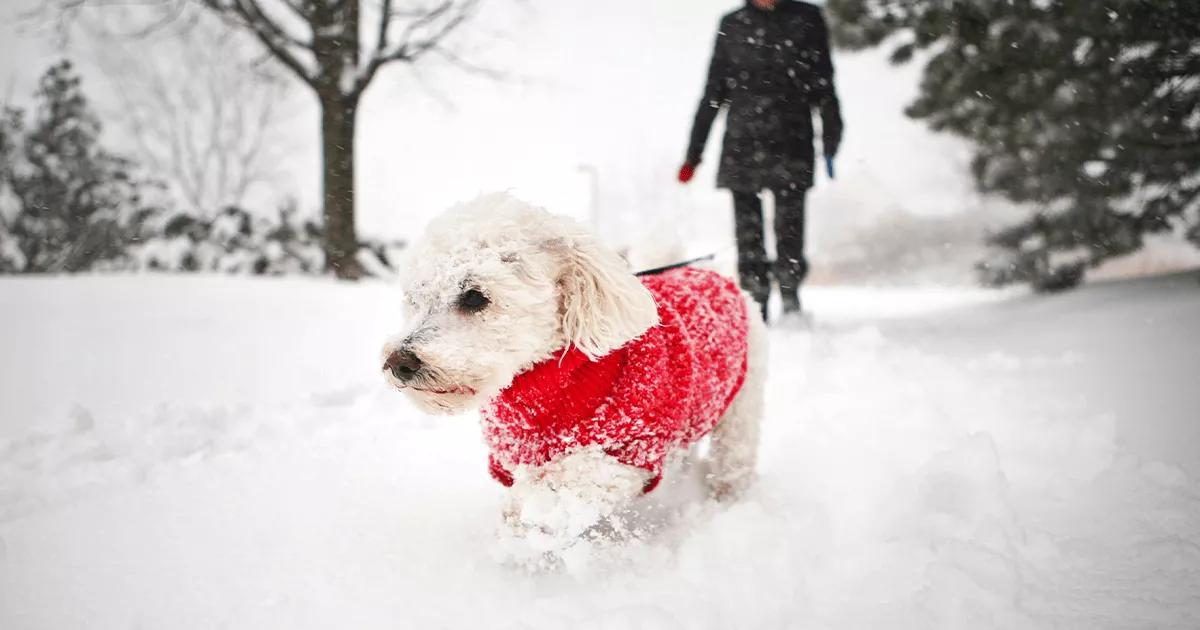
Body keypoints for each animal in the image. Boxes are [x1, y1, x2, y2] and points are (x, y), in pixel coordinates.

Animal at [379, 192, 763, 549]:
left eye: (475, 297)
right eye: (414, 298)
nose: (399, 362)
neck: (542, 385)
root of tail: (708, 272)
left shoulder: (631, 450)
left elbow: (561, 486)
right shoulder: (508, 461)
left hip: (740, 413)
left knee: (734, 461)